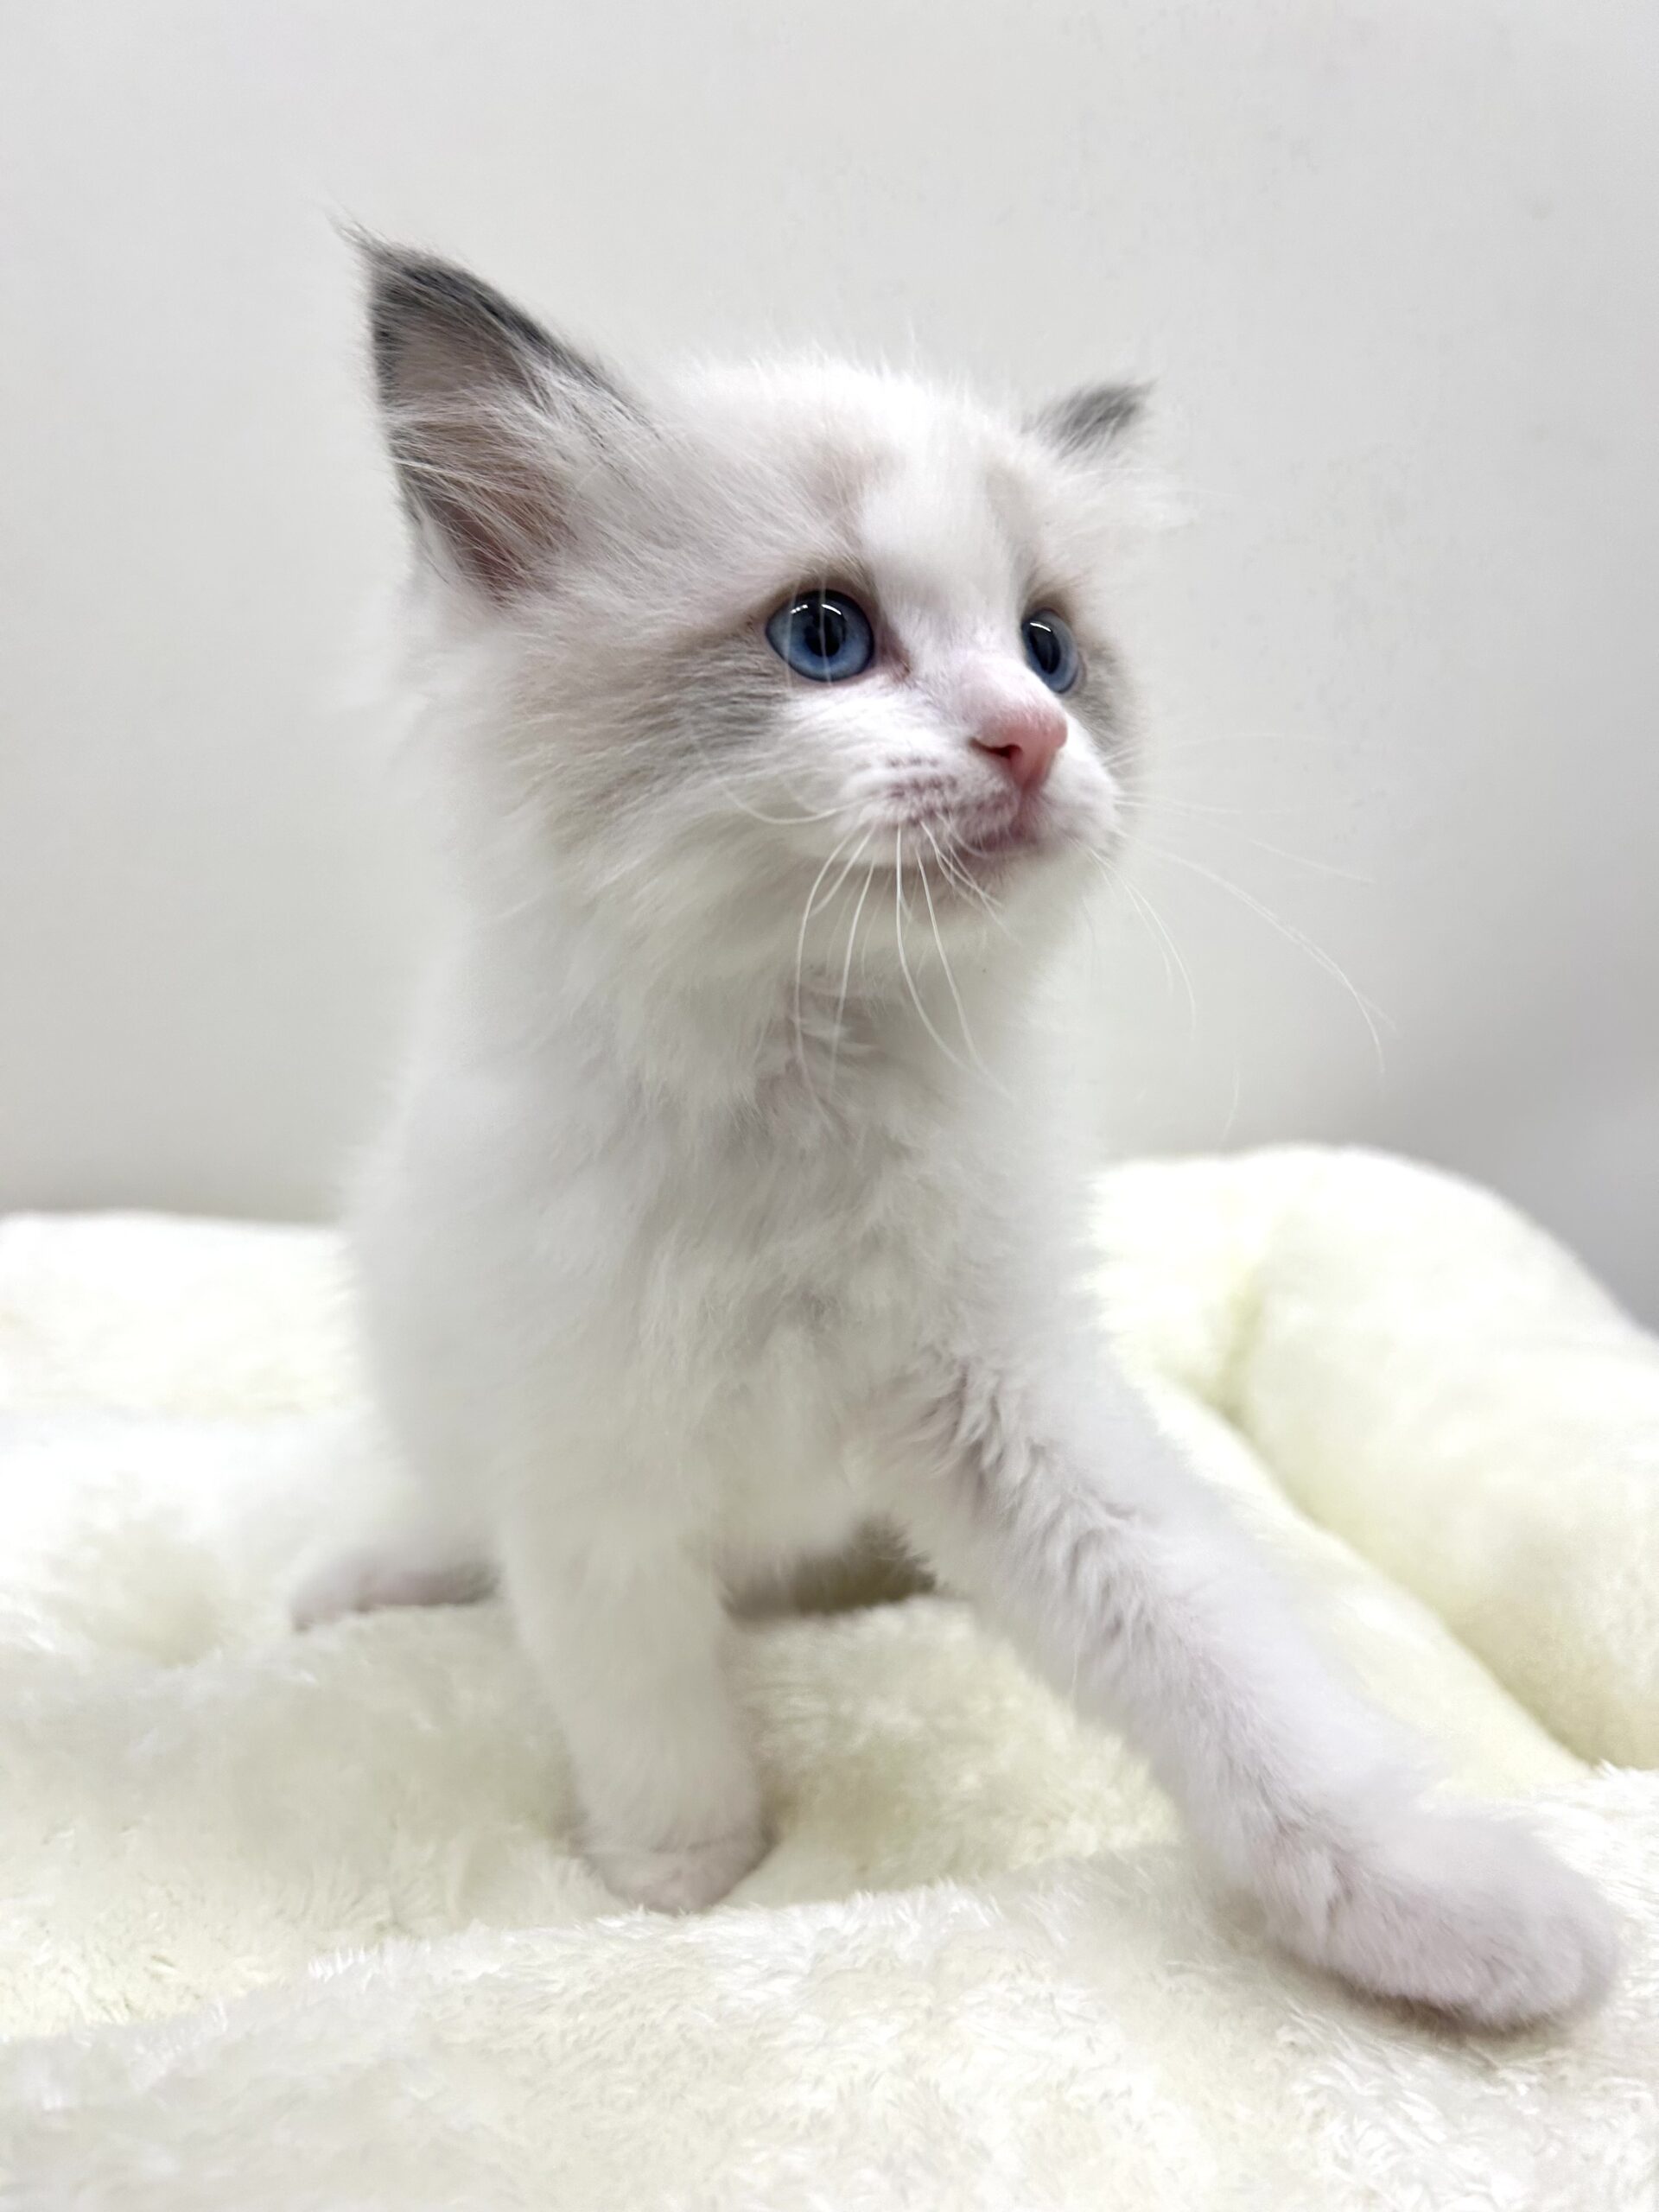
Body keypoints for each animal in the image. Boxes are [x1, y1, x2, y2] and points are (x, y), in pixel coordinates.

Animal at [294, 240, 1617, 2027]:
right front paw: (683, 1886)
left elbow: (1234, 1673)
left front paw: (1446, 1913)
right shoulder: (587, 1455)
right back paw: (374, 1577)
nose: (1033, 736)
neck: (805, 1083)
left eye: (1049, 649)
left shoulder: (1005, 1400)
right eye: (824, 635)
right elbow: (643, 1702)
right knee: (468, 1523)